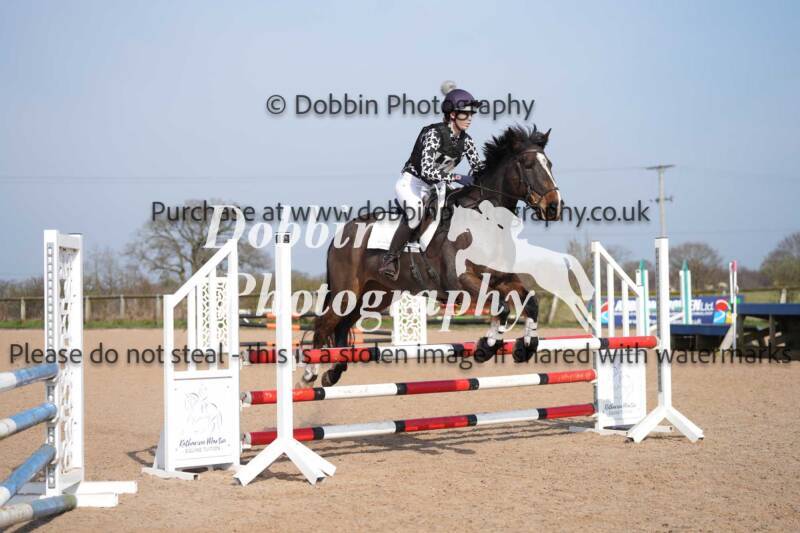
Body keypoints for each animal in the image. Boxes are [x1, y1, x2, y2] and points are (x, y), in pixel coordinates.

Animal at [308, 125, 562, 386]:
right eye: (528, 164)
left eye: (549, 164)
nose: (554, 207)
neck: (484, 221)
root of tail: (342, 233)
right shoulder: (460, 283)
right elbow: (500, 306)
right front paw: (485, 348)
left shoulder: (502, 279)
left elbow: (530, 303)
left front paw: (526, 347)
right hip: (347, 292)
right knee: (323, 325)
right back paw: (310, 374)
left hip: (374, 295)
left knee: (341, 327)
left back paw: (334, 372)